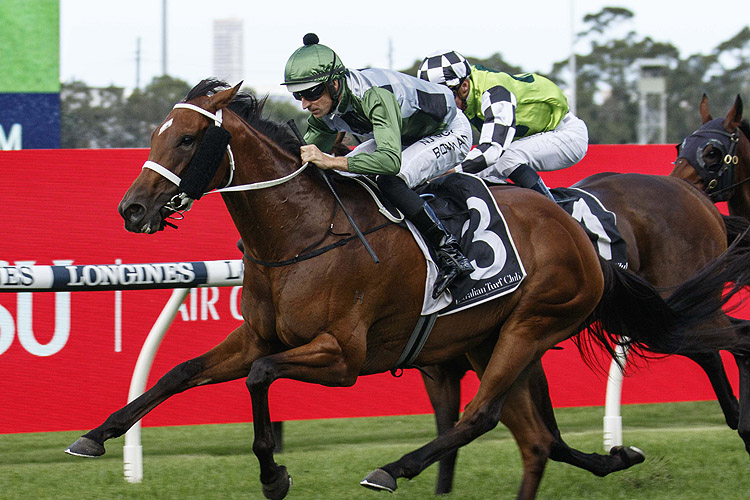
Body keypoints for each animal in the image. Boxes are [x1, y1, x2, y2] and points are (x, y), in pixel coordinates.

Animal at [67, 80, 750, 498]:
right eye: (157, 134)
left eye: (187, 138)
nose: (131, 209)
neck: (304, 232)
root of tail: (580, 238)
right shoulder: (259, 335)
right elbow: (178, 372)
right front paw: (95, 436)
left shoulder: (341, 356)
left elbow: (260, 377)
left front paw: (272, 473)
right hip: (489, 339)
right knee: (534, 439)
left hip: (532, 325)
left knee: (483, 416)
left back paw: (394, 468)